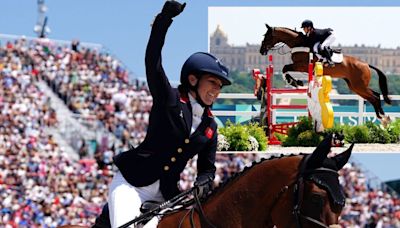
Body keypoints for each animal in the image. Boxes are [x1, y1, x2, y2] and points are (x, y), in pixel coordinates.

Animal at [260, 23, 390, 119]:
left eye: (267, 36)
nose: (261, 51)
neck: (300, 44)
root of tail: (366, 64)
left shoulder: (301, 66)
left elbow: (285, 68)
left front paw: (294, 82)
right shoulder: (302, 69)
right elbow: (286, 69)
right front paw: (297, 82)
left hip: (359, 85)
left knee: (375, 97)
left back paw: (384, 118)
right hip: (355, 86)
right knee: (375, 95)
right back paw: (382, 117)